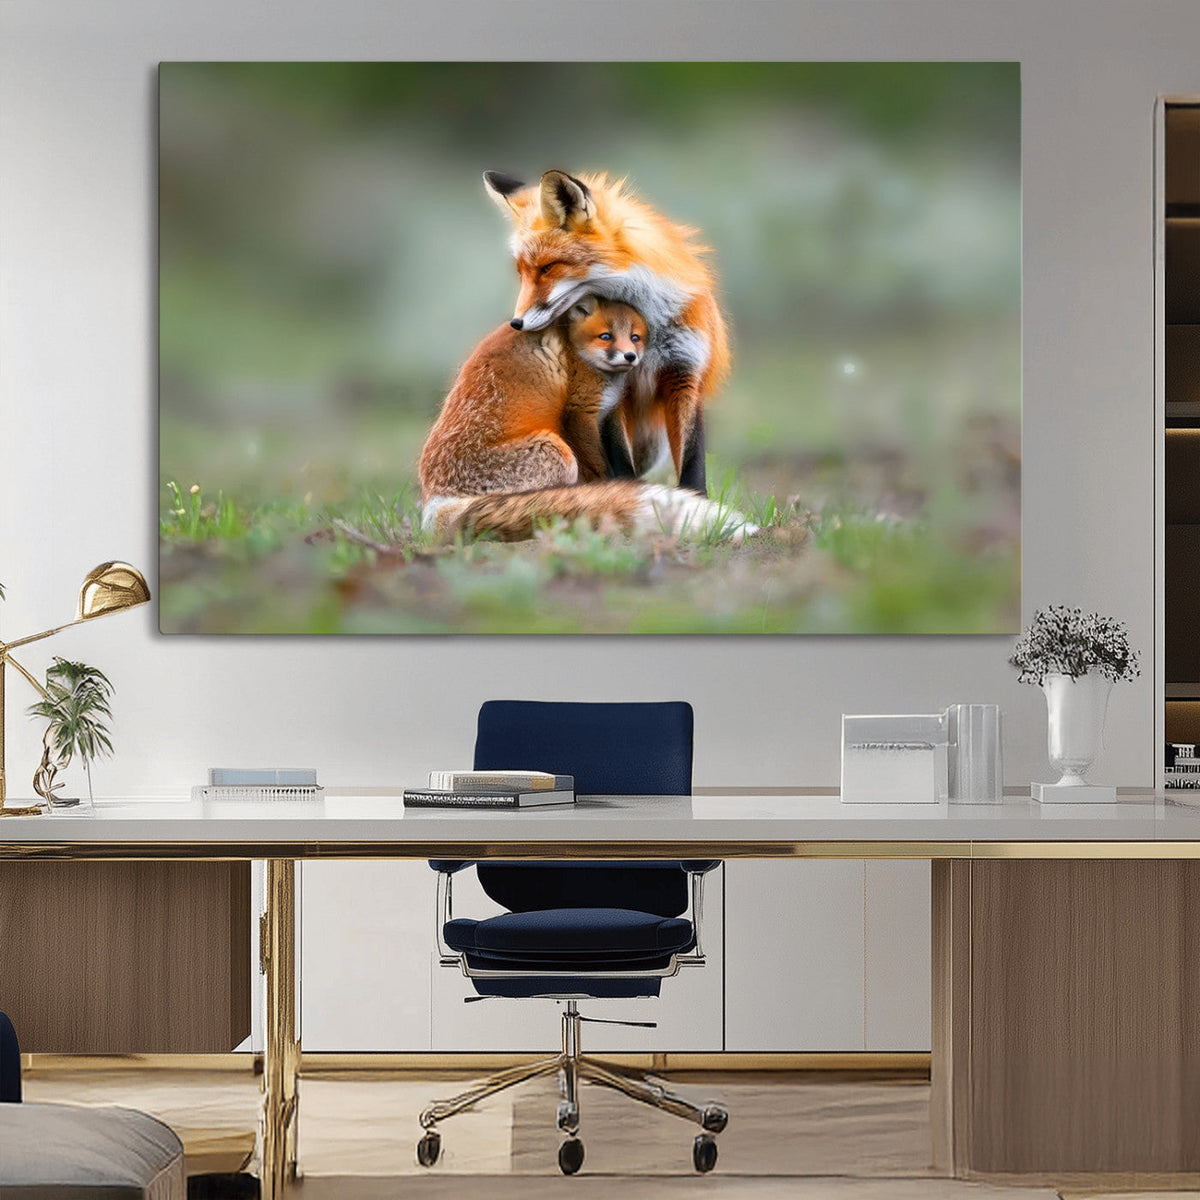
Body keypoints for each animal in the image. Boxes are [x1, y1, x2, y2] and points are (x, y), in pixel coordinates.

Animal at [483, 168, 730, 496]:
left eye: (548, 268)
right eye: (521, 273)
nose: (516, 323)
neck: (648, 327)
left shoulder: (685, 374)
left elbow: (692, 462)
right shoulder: (614, 389)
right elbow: (620, 461)